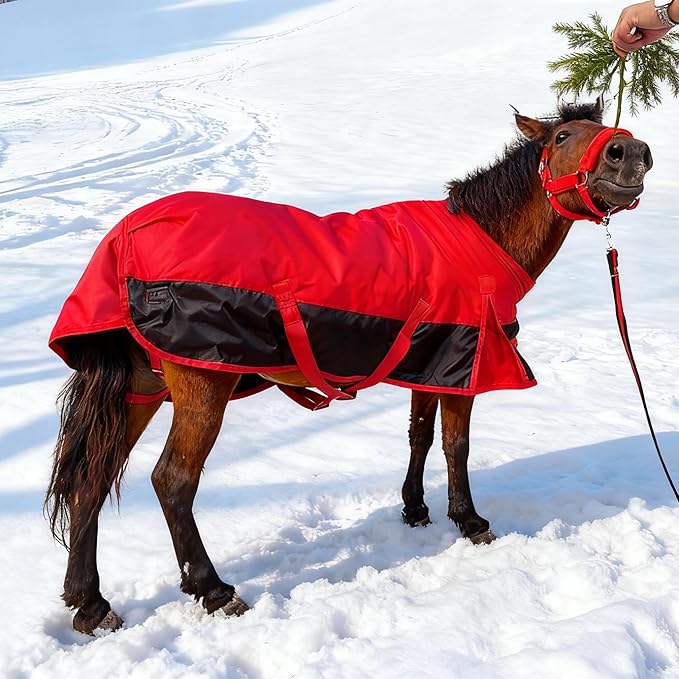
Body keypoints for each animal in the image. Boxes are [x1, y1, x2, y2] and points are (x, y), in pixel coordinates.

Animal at [45, 98, 653, 635]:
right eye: (562, 136)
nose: (631, 151)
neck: (482, 239)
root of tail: (122, 242)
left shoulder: (429, 363)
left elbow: (420, 436)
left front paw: (415, 509)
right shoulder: (465, 365)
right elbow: (456, 445)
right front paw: (470, 521)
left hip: (140, 389)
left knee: (91, 480)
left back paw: (90, 603)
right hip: (202, 385)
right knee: (172, 481)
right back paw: (212, 589)